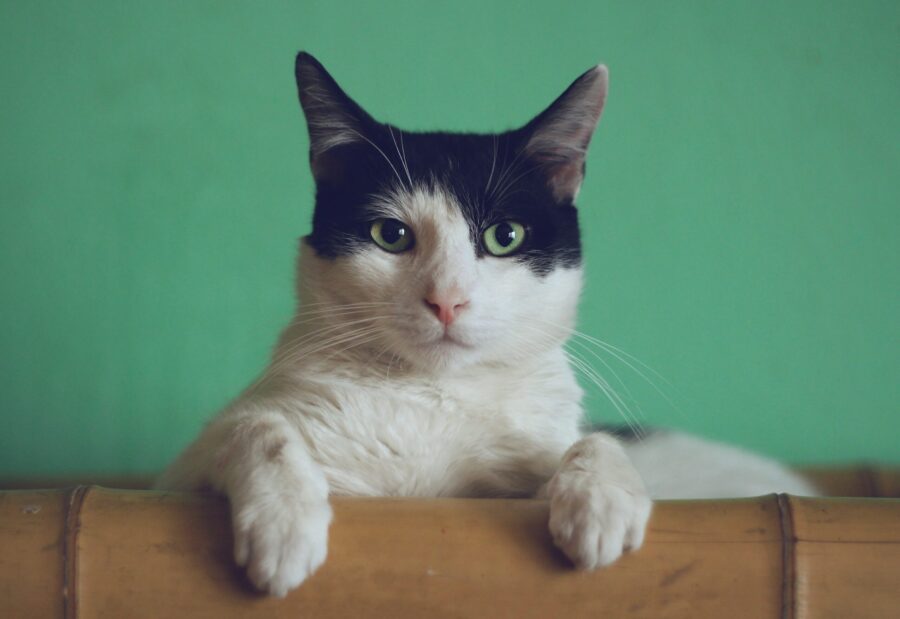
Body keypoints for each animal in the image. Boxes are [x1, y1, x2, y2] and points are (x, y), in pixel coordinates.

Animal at [156, 55, 816, 600]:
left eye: (505, 236)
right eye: (390, 235)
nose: (447, 300)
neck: (432, 399)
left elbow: (589, 442)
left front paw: (599, 501)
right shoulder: (180, 474)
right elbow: (256, 427)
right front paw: (285, 525)